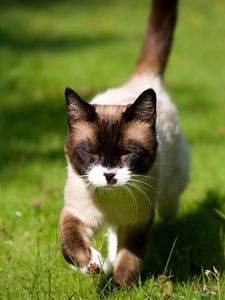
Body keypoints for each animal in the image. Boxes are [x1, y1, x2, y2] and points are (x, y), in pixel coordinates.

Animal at [60, 0, 190, 286]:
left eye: (127, 154)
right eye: (92, 154)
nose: (109, 175)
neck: (111, 200)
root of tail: (143, 81)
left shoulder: (137, 223)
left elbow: (129, 260)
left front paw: (119, 286)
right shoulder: (76, 214)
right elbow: (71, 246)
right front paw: (93, 266)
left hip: (171, 187)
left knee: (170, 204)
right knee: (110, 236)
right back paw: (103, 262)